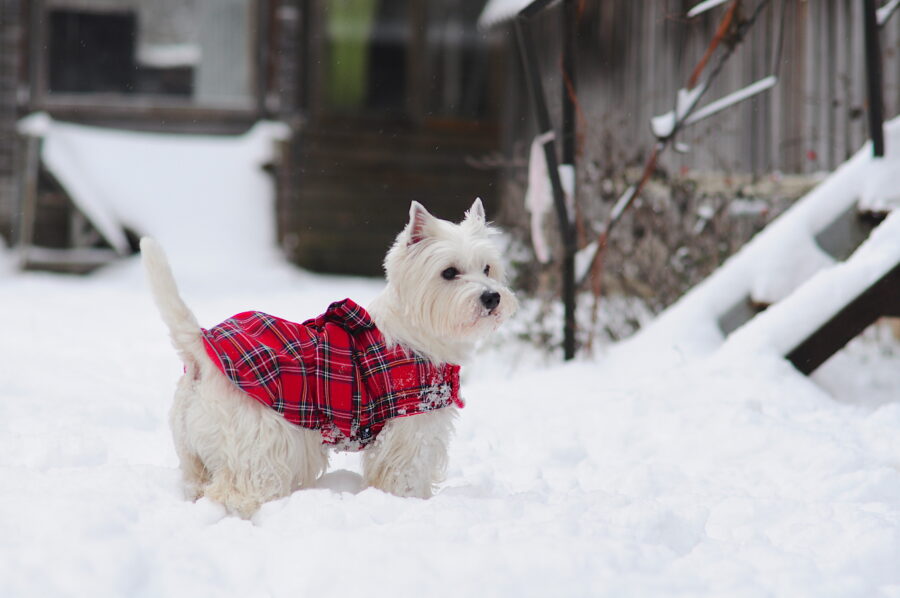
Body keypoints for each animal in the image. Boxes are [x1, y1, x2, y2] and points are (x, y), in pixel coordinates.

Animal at [143, 199, 516, 516]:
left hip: (194, 452)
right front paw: (411, 505)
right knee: (234, 492)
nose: (492, 297)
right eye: (449, 272)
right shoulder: (410, 429)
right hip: (261, 446)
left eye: (487, 268)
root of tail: (202, 351)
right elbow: (404, 477)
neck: (417, 335)